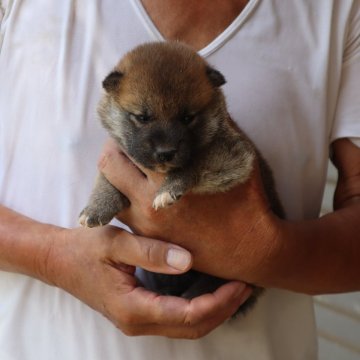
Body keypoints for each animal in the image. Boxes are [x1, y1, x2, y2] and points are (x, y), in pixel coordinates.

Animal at [79, 40, 284, 314]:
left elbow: (193, 163)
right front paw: (96, 207)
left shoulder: (233, 157)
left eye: (188, 118)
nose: (166, 152)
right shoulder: (122, 155)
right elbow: (105, 179)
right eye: (142, 117)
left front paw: (169, 189)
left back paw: (192, 295)